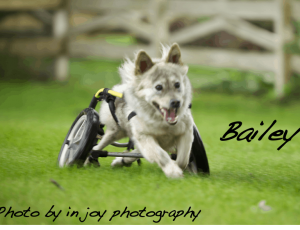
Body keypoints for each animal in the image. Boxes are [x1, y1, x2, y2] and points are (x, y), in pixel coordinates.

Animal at [86, 43, 195, 178]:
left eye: (177, 84)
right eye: (158, 87)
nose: (176, 102)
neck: (162, 123)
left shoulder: (186, 133)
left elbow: (183, 159)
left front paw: (178, 167)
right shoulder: (144, 136)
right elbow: (161, 155)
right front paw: (172, 171)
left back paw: (121, 161)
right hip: (114, 131)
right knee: (96, 148)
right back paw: (86, 159)